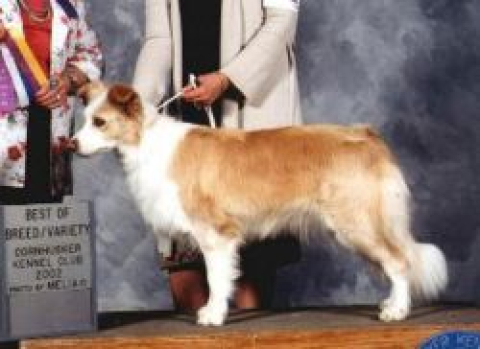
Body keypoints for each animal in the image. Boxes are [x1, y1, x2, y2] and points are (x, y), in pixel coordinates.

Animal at [71, 82, 450, 326]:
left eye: (99, 122)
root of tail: (367, 135)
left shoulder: (215, 232)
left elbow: (217, 278)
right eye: (83, 119)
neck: (145, 142)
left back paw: (396, 311)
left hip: (355, 223)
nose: (70, 144)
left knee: (399, 262)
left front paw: (212, 315)